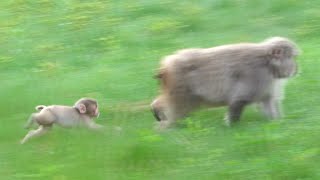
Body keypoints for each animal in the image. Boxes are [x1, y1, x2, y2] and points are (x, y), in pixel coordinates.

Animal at [151, 36, 298, 128]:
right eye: (292, 57)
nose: (297, 68)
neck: (268, 63)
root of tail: (167, 63)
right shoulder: (256, 75)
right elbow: (239, 100)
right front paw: (231, 125)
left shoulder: (267, 82)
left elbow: (267, 100)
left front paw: (276, 122)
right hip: (180, 85)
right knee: (180, 107)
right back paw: (168, 126)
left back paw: (157, 109)